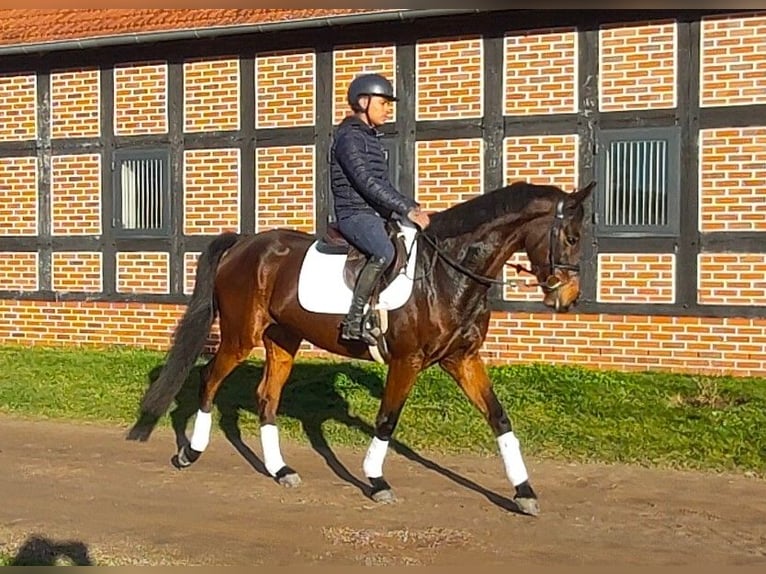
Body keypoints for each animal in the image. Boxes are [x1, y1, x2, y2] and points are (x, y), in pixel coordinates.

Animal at [126, 179, 596, 516]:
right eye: (571, 237)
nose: (568, 299)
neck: (446, 271)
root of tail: (244, 243)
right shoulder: (407, 361)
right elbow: (387, 420)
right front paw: (376, 480)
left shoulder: (462, 359)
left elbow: (499, 418)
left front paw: (524, 492)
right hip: (241, 336)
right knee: (209, 380)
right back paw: (190, 453)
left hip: (283, 340)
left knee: (266, 398)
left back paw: (281, 470)